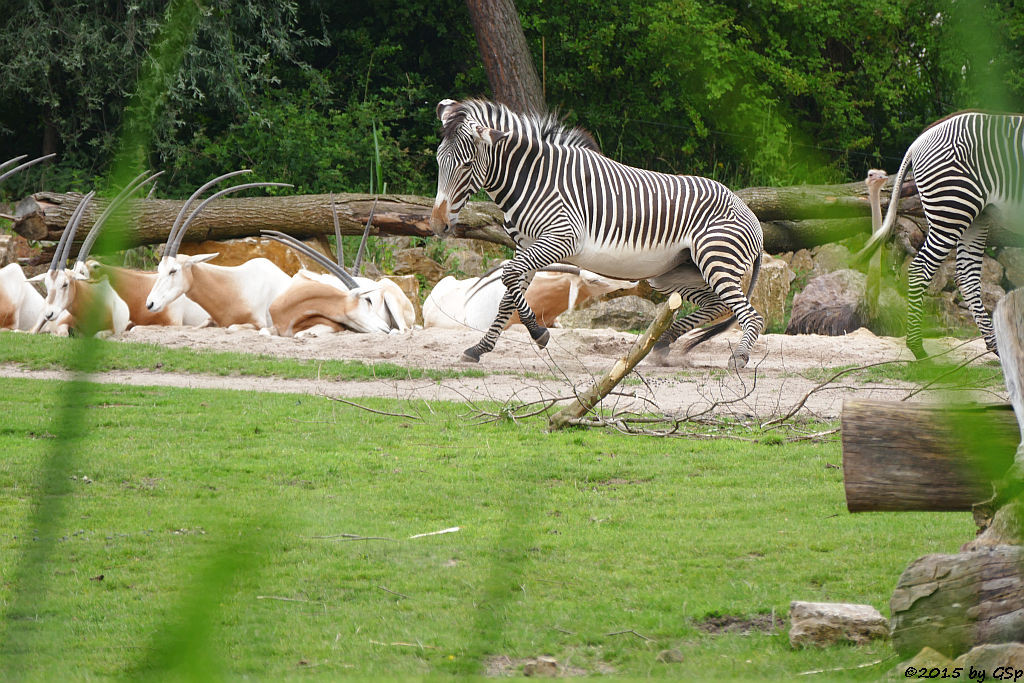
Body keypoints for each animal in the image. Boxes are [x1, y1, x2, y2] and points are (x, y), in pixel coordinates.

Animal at [428, 97, 765, 368]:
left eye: (467, 165)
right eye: (438, 161)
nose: (437, 225)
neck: (534, 178)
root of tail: (750, 214)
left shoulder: (561, 239)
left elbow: (509, 279)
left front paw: (539, 333)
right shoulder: (526, 245)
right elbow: (508, 296)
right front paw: (480, 348)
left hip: (715, 261)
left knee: (750, 315)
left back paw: (739, 357)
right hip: (677, 272)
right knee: (717, 305)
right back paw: (662, 342)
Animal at [856, 109, 1024, 360]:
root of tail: (918, 142)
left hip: (977, 215)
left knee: (967, 277)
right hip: (954, 208)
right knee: (921, 268)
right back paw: (917, 347)